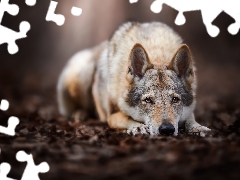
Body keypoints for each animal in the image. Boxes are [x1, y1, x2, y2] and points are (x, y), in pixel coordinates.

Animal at [57, 21, 210, 136]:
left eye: (175, 99)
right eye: (148, 100)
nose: (167, 130)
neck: (156, 54)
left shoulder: (188, 110)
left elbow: (190, 118)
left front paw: (197, 127)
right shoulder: (112, 116)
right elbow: (126, 119)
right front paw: (139, 127)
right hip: (82, 73)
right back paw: (80, 114)